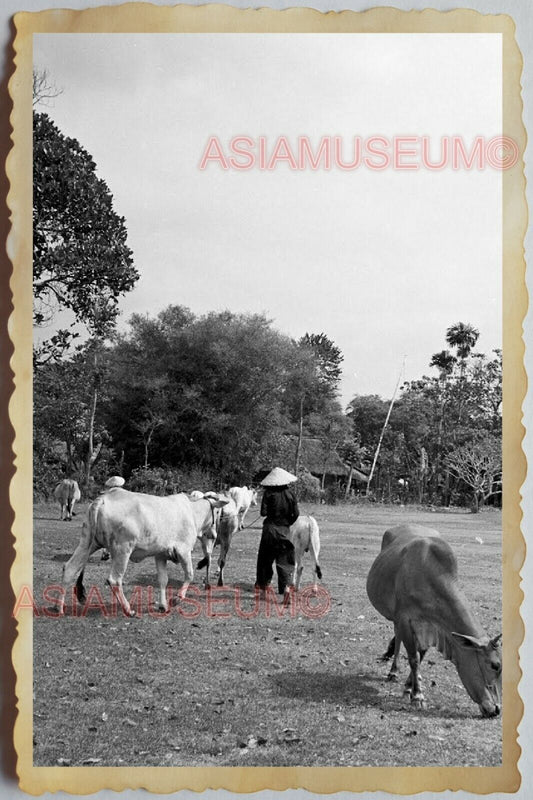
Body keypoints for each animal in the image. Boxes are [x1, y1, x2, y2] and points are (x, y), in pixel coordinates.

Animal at [59, 484, 228, 616]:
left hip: (87, 542)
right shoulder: (183, 551)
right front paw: (176, 599)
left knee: (70, 568)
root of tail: (104, 498)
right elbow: (189, 575)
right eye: (218, 512)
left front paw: (163, 605)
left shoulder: (160, 555)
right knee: (114, 579)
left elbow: (163, 580)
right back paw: (128, 610)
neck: (192, 512)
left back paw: (59, 608)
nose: (214, 535)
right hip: (123, 549)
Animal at [366, 524, 502, 720]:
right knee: (397, 640)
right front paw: (417, 696)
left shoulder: (432, 629)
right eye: (495, 665)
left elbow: (420, 656)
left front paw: (409, 688)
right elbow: (414, 658)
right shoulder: (404, 619)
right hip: (395, 618)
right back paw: (393, 671)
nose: (497, 709)